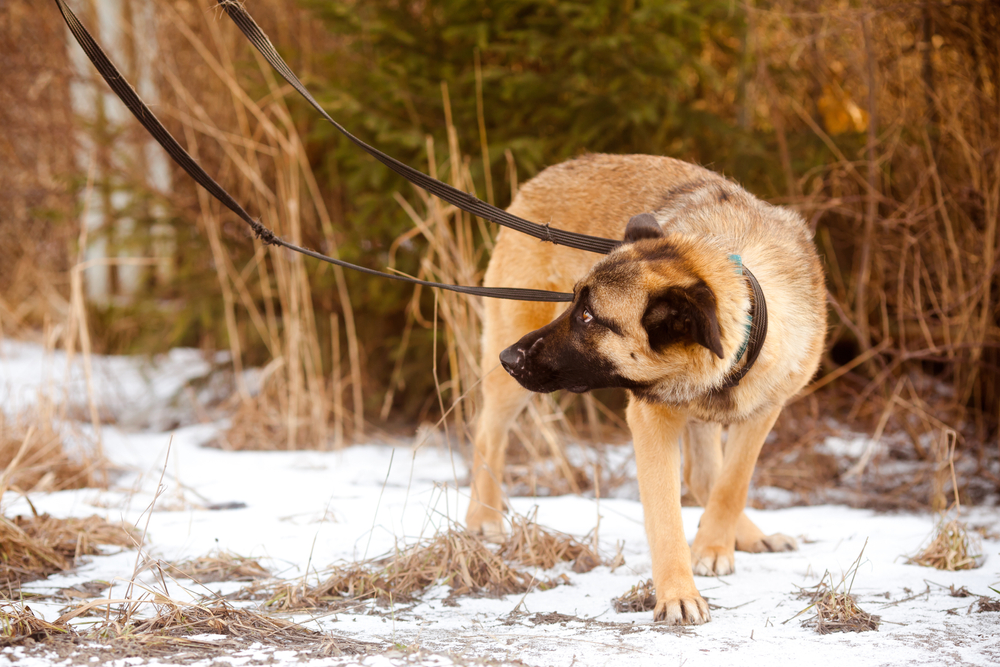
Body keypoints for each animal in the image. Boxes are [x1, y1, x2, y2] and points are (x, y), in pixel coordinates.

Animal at [464, 154, 824, 624]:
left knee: (705, 476)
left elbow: (732, 485)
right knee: (488, 434)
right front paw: (678, 594)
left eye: (588, 317)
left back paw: (744, 536)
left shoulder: (764, 408)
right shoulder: (652, 417)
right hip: (510, 384)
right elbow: (665, 514)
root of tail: (546, 175)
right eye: (573, 303)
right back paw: (483, 517)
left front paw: (714, 547)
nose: (509, 357)